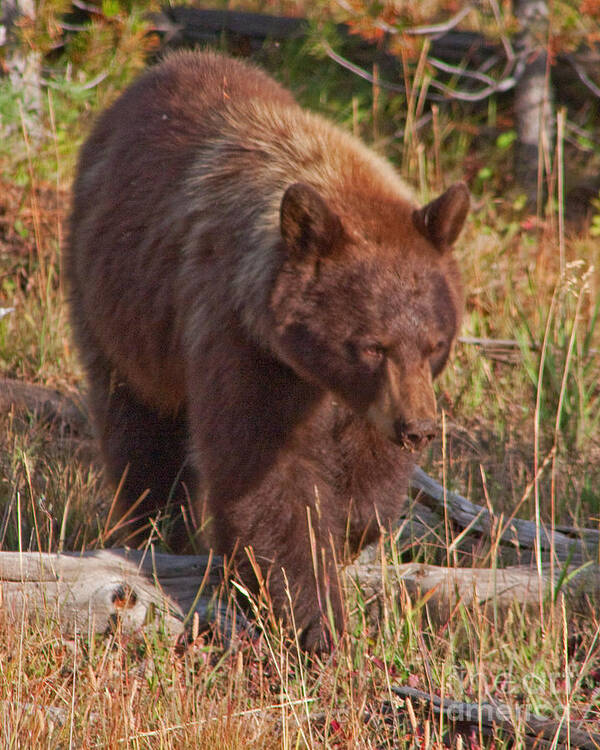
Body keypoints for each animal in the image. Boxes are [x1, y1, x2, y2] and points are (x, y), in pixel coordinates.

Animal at [67, 51, 468, 652]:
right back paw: (160, 532)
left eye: (436, 343)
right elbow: (265, 472)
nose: (418, 428)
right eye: (372, 345)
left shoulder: (368, 398)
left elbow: (366, 481)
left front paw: (349, 527)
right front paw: (314, 621)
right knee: (139, 429)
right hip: (117, 306)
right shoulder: (239, 337)